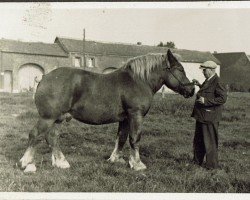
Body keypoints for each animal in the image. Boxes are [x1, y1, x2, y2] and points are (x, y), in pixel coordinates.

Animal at [19, 49, 195, 172]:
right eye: (180, 69)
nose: (192, 89)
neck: (139, 80)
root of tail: (44, 77)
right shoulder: (135, 115)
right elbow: (135, 138)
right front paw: (137, 164)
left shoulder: (125, 119)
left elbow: (121, 138)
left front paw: (116, 160)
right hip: (48, 117)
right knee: (35, 134)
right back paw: (27, 163)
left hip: (58, 118)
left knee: (52, 137)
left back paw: (61, 162)